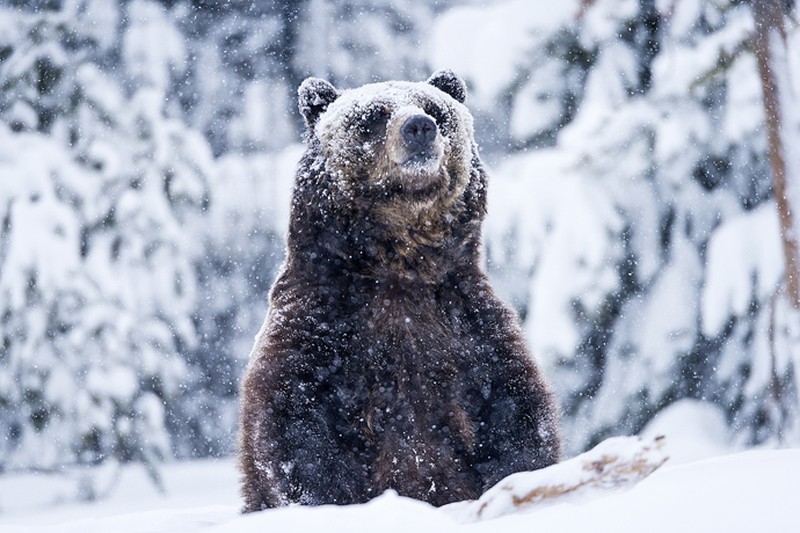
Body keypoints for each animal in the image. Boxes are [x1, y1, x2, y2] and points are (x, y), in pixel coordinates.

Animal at [241, 70, 560, 512]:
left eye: (435, 110)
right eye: (373, 115)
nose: (419, 127)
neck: (400, 267)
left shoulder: (468, 326)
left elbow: (516, 412)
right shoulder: (321, 324)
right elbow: (293, 425)